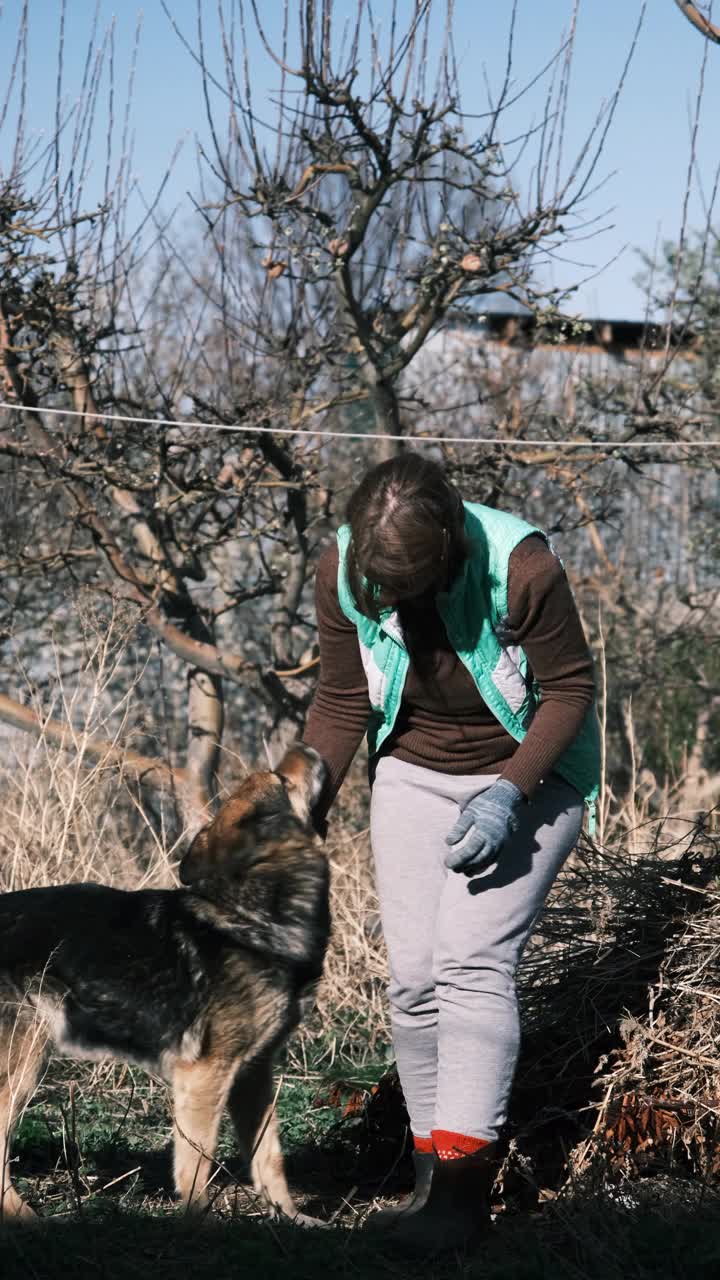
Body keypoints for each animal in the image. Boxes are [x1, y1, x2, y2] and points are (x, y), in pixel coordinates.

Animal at [0, 747, 327, 1223]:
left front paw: (291, 1218)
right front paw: (200, 1224)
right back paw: (22, 1216)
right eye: (282, 780)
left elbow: (270, 1156)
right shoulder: (206, 1075)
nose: (306, 748)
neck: (254, 912)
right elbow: (196, 1161)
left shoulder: (253, 1075)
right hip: (24, 1061)